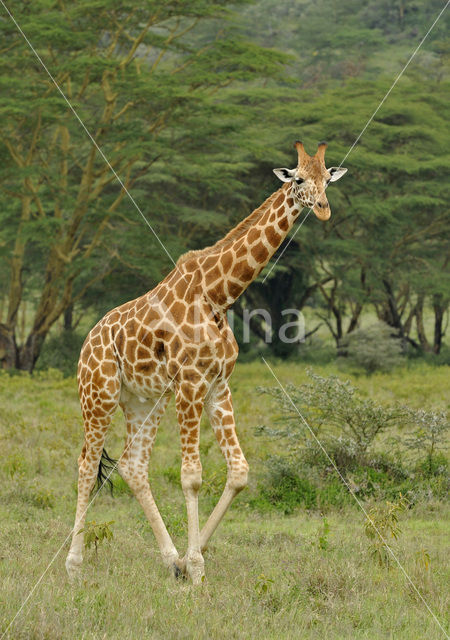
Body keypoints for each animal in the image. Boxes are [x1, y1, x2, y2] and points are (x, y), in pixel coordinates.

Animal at [65, 141, 348, 584]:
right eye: (299, 178)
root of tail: (86, 343)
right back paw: (73, 565)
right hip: (98, 395)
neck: (219, 295)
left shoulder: (218, 385)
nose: (322, 209)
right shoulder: (191, 382)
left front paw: (187, 559)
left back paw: (168, 558)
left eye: (327, 179)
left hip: (145, 401)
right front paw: (196, 568)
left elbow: (240, 472)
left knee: (132, 465)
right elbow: (192, 477)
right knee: (86, 465)